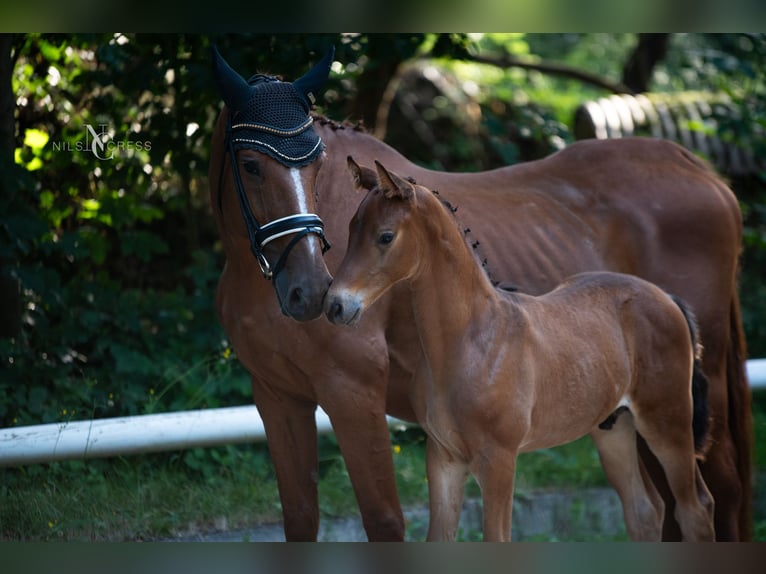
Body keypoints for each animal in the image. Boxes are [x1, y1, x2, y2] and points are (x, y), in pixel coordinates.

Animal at [328, 159, 716, 544]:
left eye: (385, 236)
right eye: (350, 229)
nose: (335, 305)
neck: (468, 342)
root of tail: (667, 298)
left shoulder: (499, 459)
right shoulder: (443, 458)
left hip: (668, 423)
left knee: (695, 507)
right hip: (613, 427)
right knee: (644, 511)